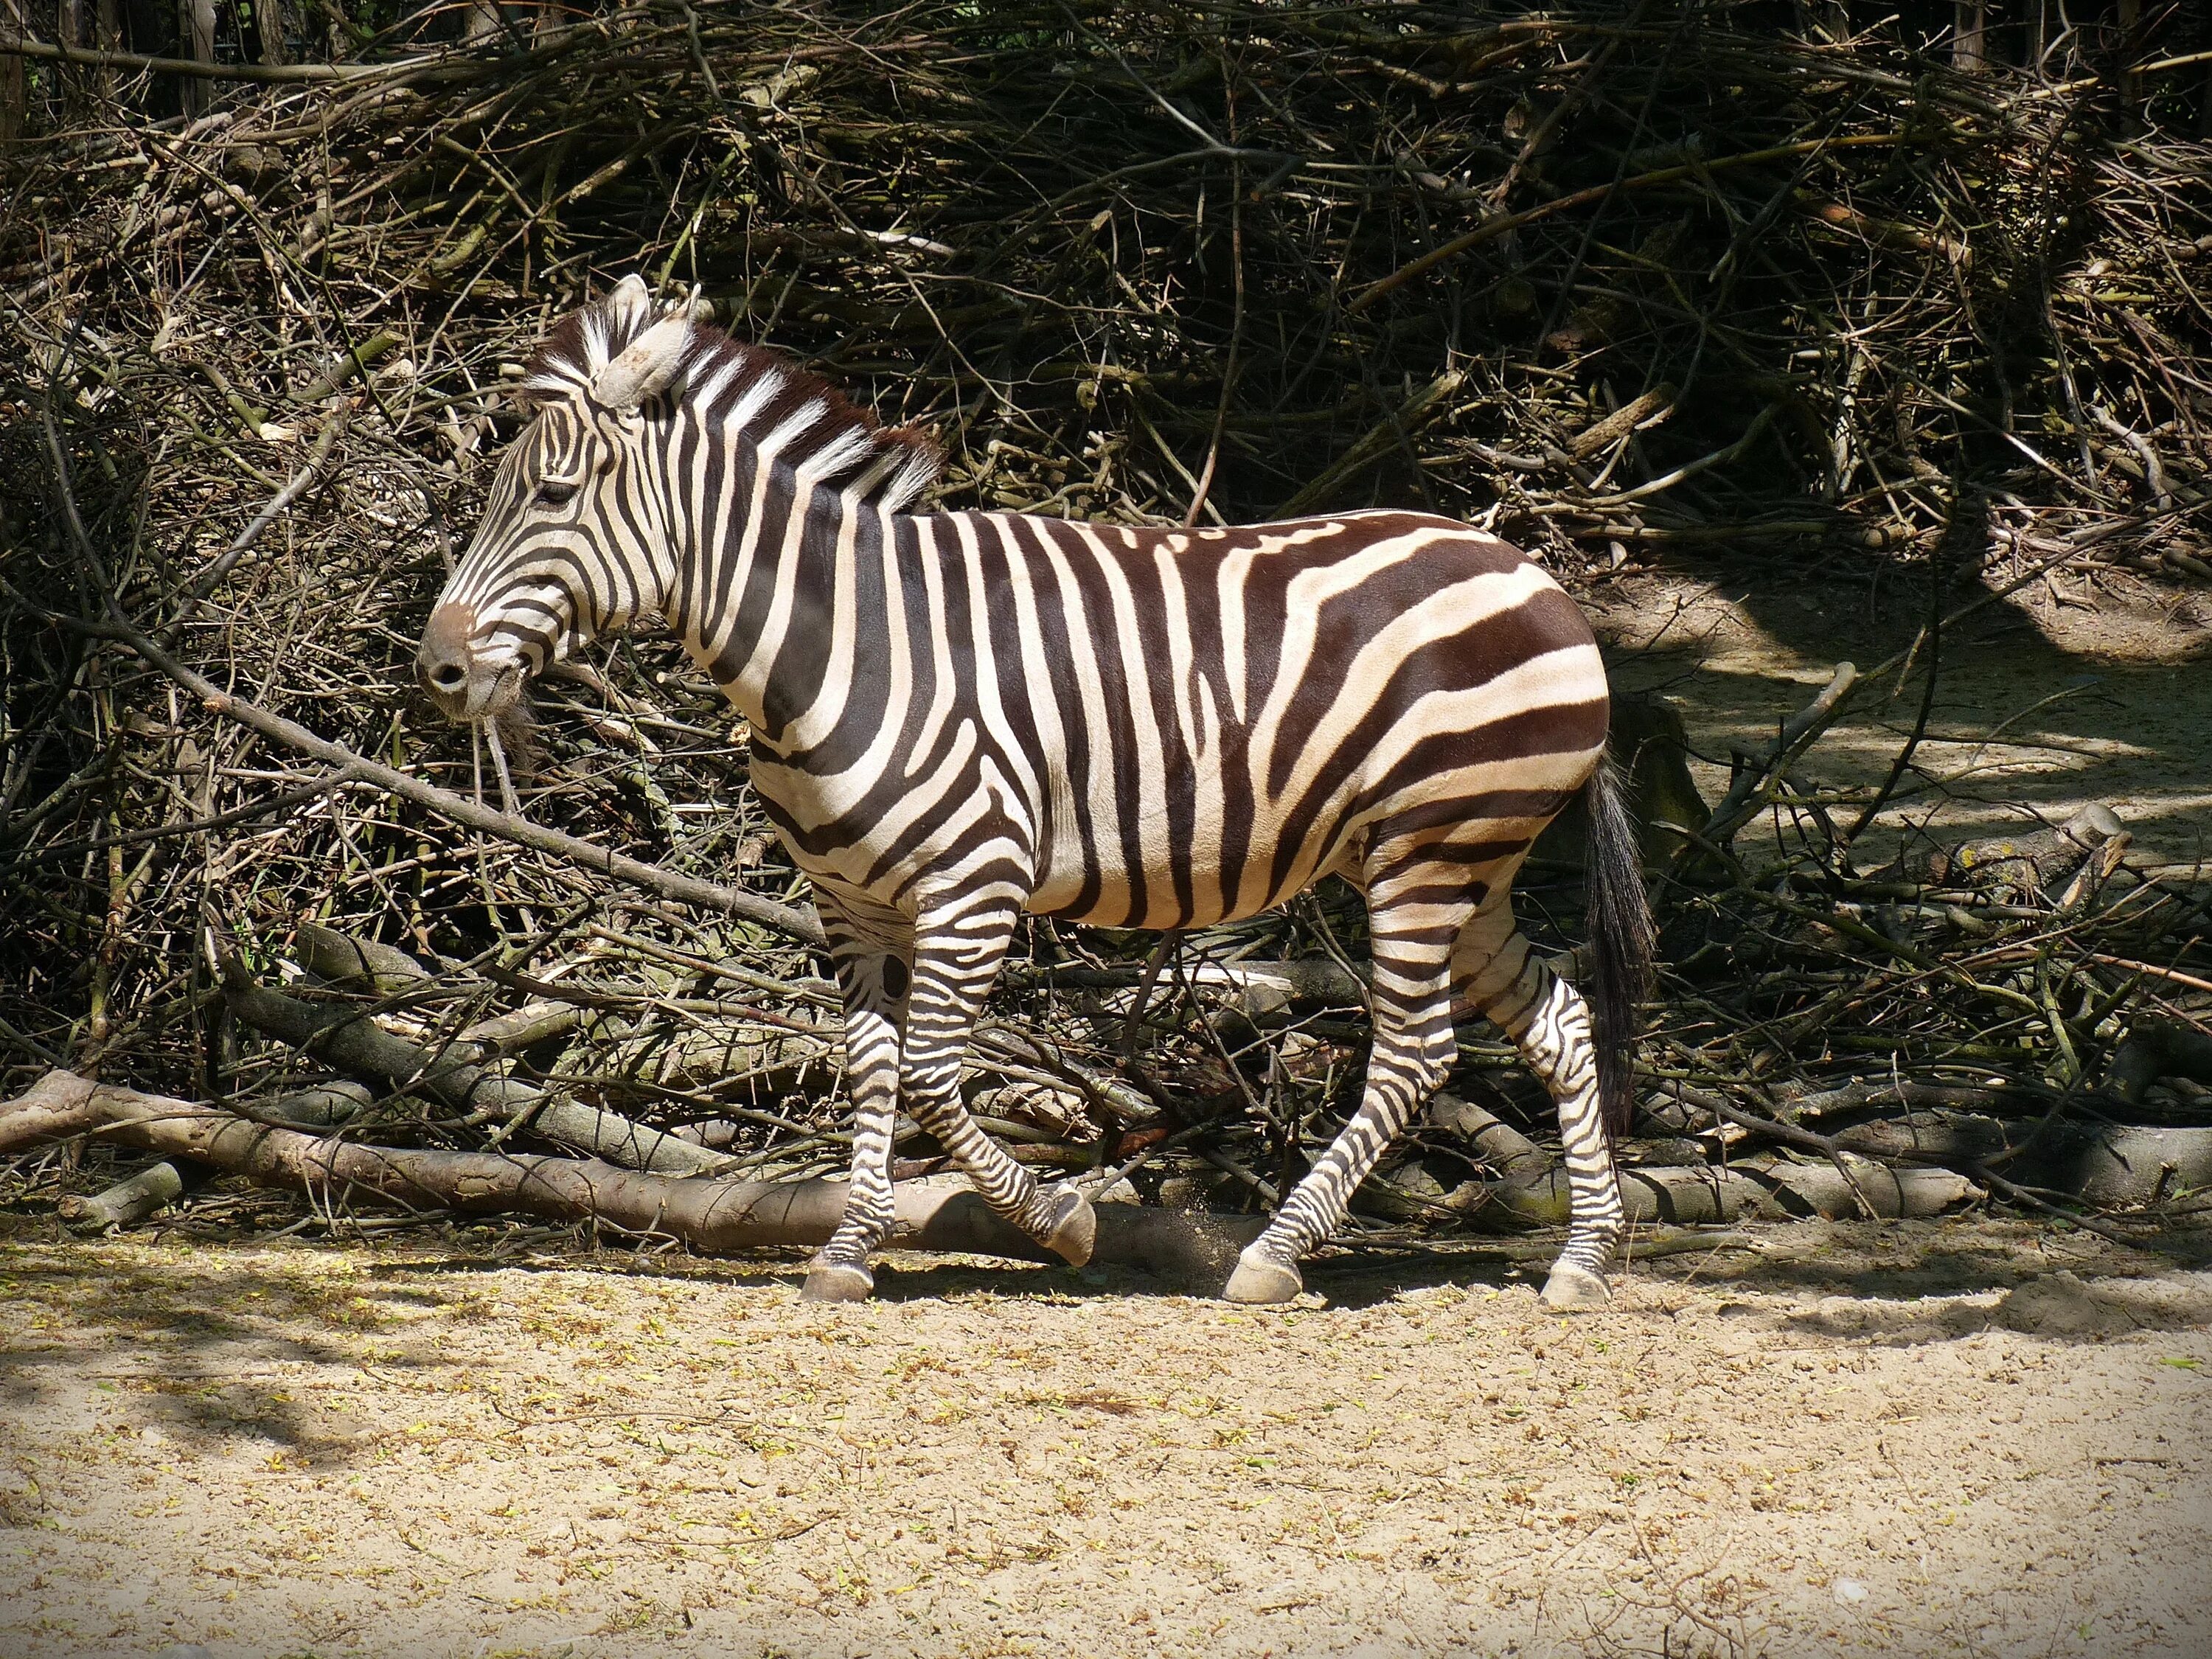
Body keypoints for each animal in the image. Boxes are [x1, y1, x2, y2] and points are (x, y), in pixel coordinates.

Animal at [418, 276, 1663, 1310]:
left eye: (554, 493)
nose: (436, 669)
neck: (832, 646)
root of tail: (1537, 577)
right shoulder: (850, 903)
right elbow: (873, 1068)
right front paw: (847, 1251)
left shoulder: (973, 885)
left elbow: (930, 1074)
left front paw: (1060, 1221)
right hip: (1464, 862)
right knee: (1560, 1024)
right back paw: (1583, 1260)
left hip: (1428, 845)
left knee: (1415, 1055)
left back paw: (1273, 1257)